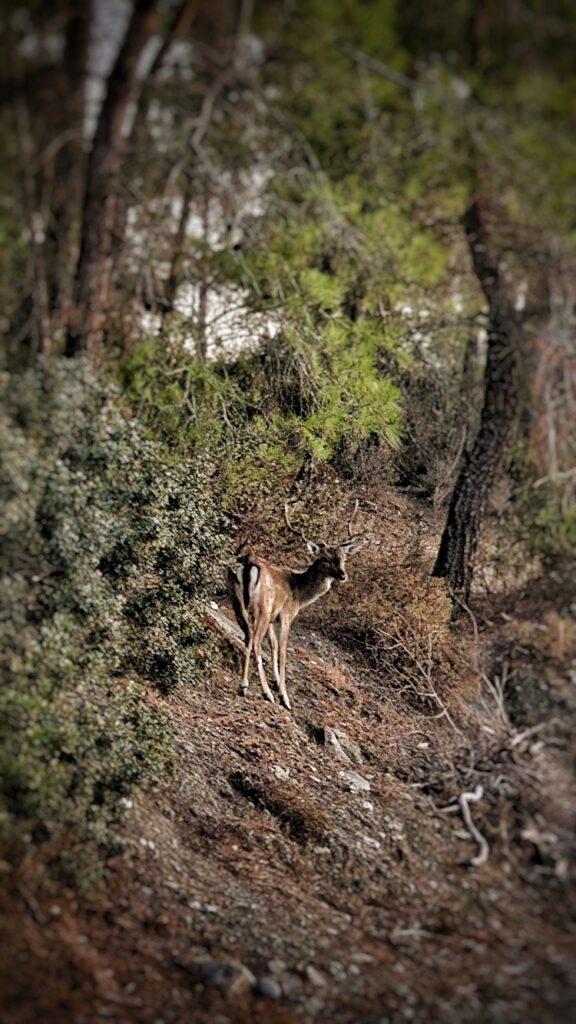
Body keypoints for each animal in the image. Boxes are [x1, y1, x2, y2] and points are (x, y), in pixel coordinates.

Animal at [225, 503, 362, 712]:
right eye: (324, 558)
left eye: (343, 557)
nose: (342, 575)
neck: (299, 593)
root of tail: (248, 562)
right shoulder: (285, 615)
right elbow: (282, 650)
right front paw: (284, 696)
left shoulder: (273, 618)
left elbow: (273, 645)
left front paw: (276, 682)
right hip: (262, 607)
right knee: (255, 641)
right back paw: (264, 693)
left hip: (237, 600)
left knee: (247, 636)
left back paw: (245, 686)